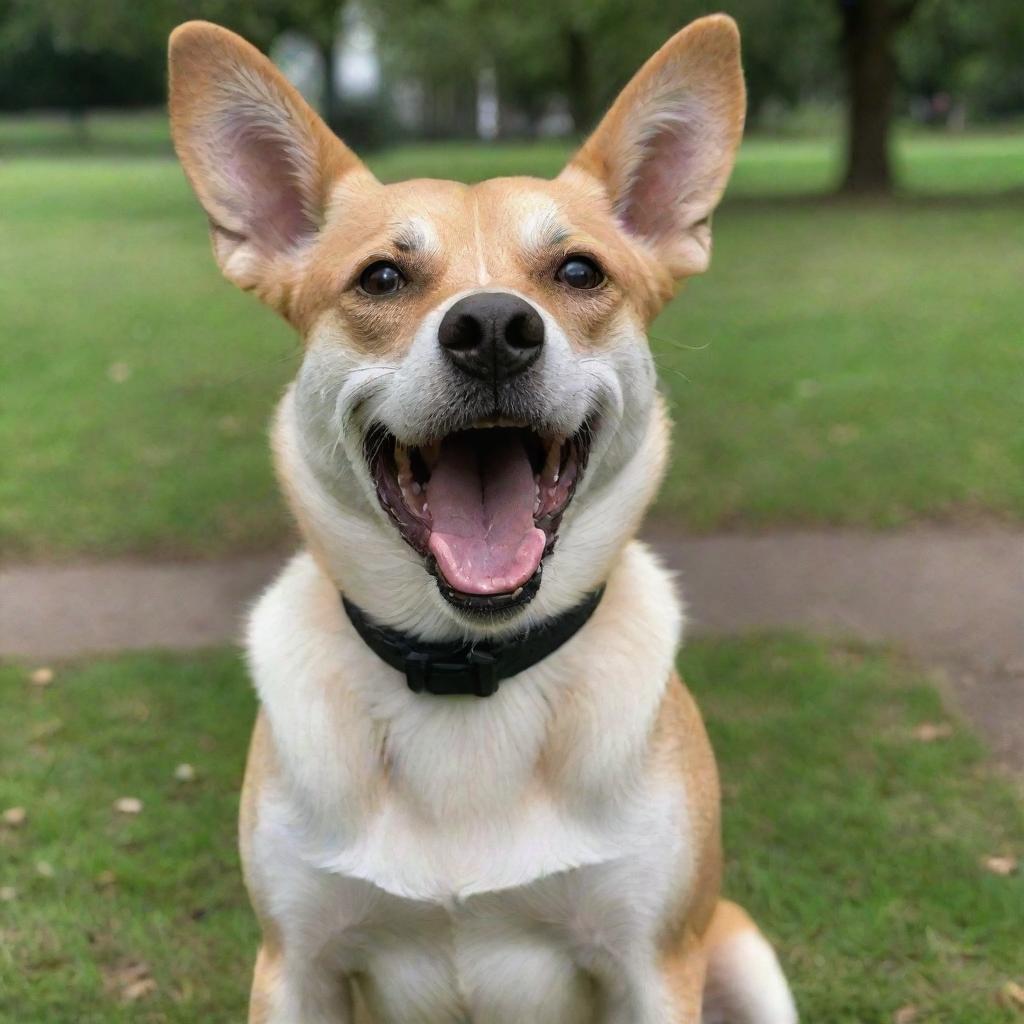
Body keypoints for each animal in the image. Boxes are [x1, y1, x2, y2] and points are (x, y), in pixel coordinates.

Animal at [169, 12, 798, 1019]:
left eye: (578, 268)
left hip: (738, 946)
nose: (496, 329)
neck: (469, 671)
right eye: (382, 278)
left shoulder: (656, 962)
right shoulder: (293, 963)